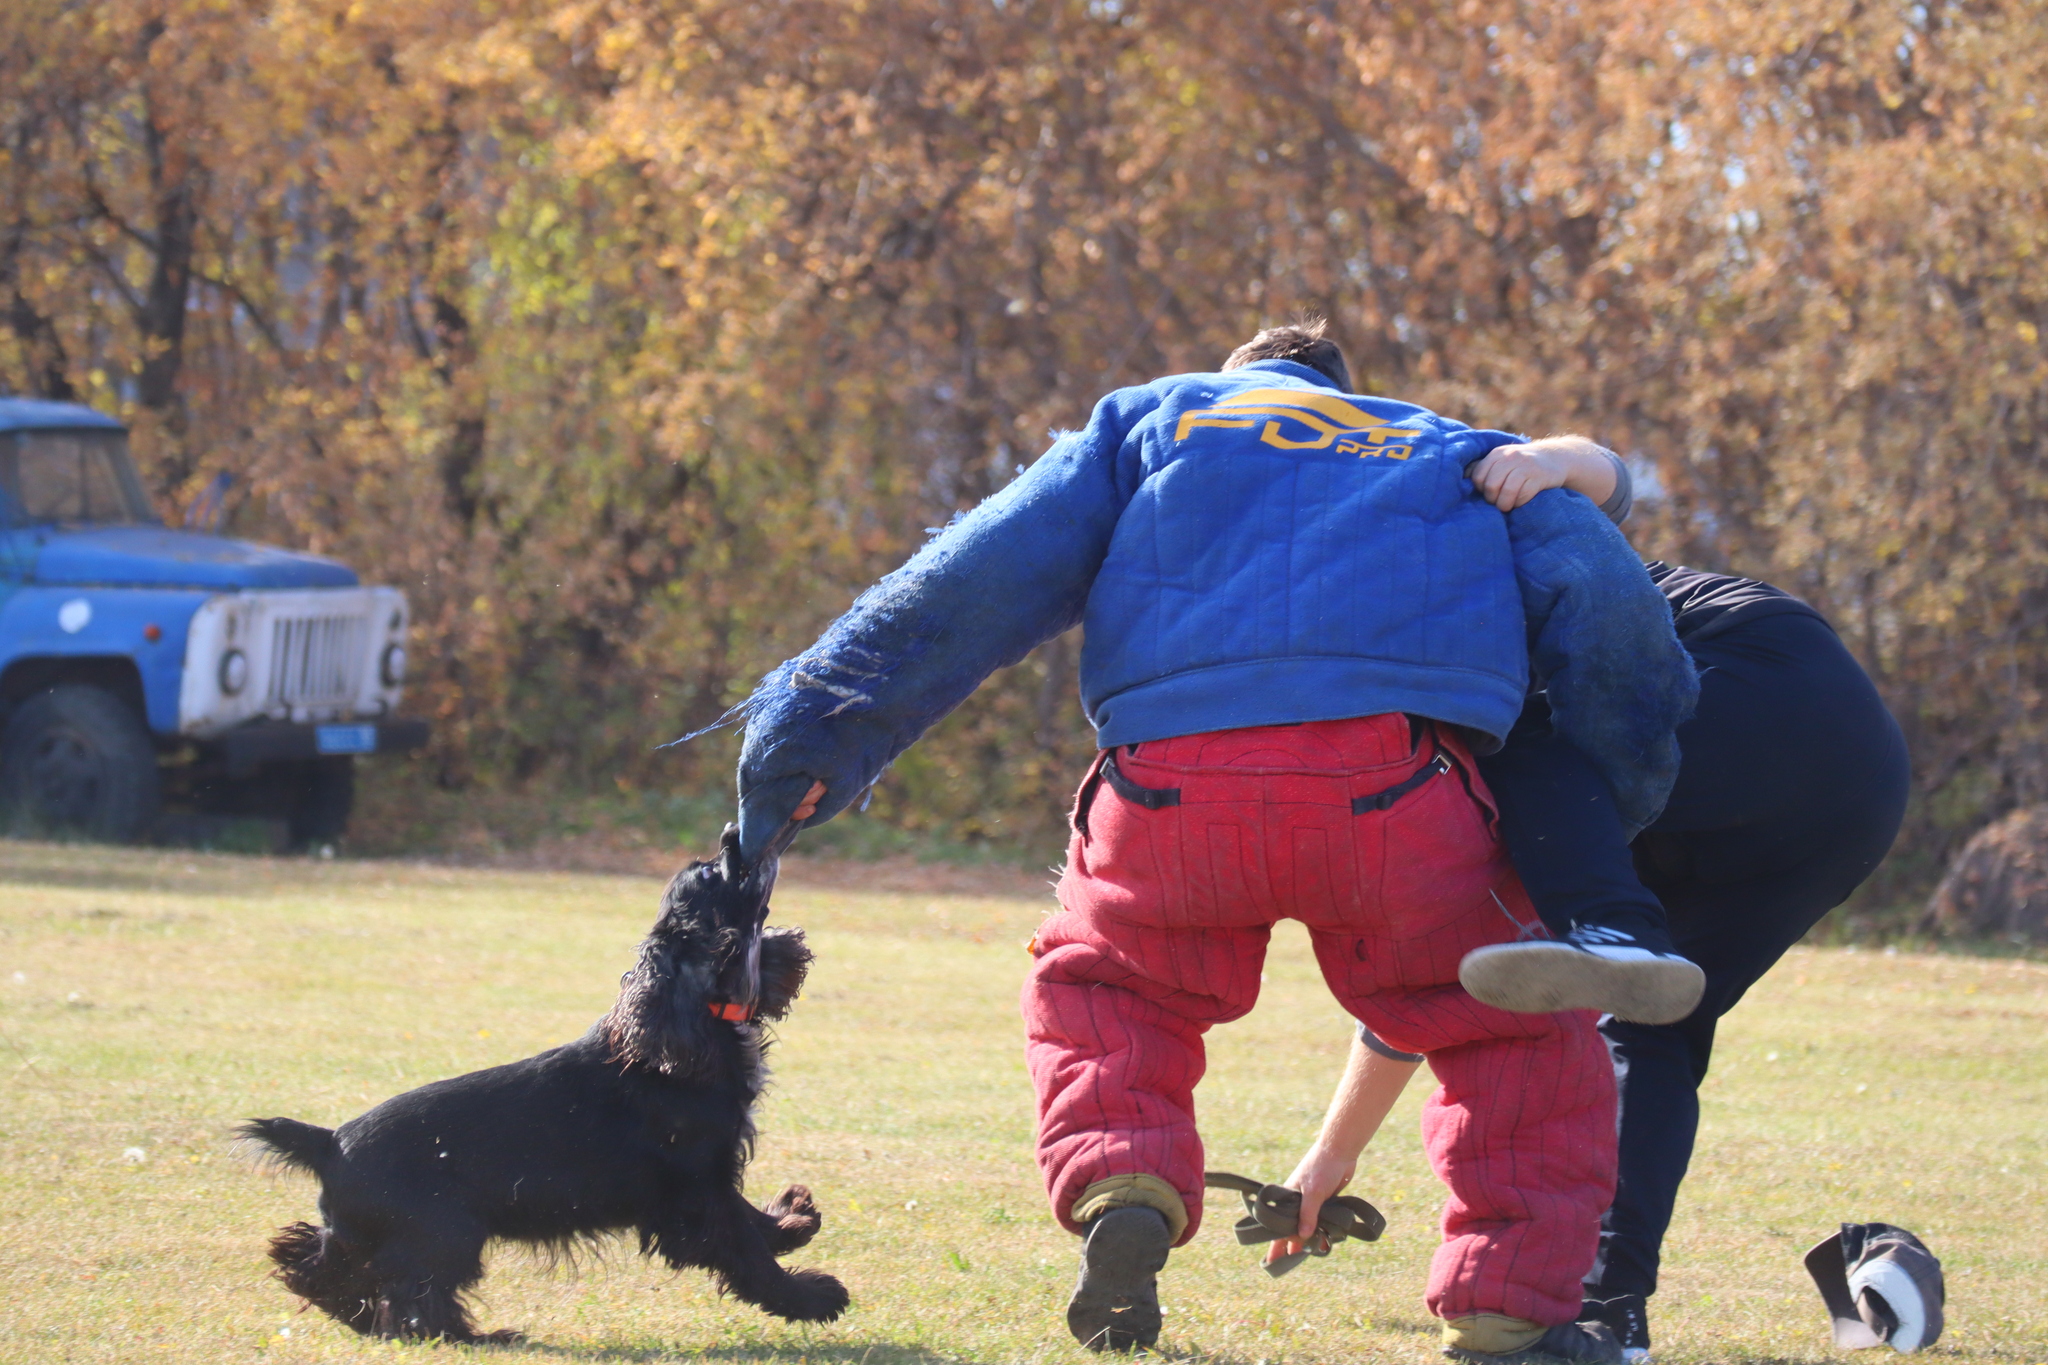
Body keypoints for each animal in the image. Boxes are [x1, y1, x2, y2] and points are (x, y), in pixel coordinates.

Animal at [241, 826, 847, 1342]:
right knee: (413, 1302)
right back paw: (484, 1338)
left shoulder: (708, 1176)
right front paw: (813, 1295)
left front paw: (791, 1219)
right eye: (716, 873)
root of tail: (329, 1142)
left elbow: (750, 1220)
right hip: (445, 1232)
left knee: (323, 1268)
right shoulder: (692, 1192)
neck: (685, 1025)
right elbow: (745, 1249)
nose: (732, 833)